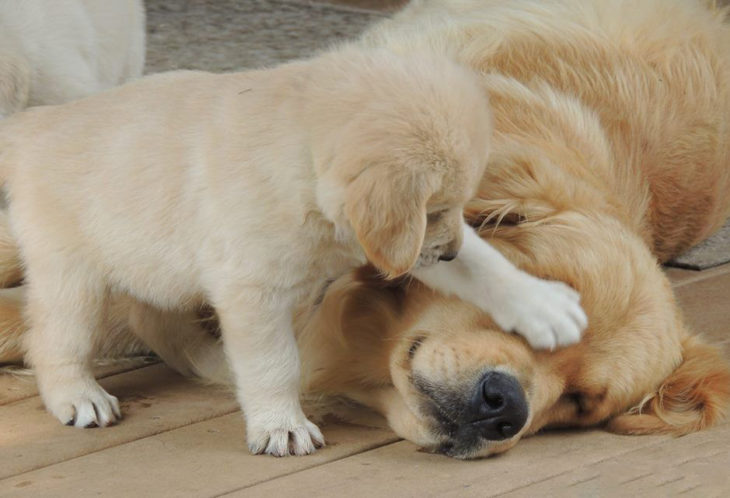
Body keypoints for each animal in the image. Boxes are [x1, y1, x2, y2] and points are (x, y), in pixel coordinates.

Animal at [0, 46, 584, 456]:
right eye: (437, 207)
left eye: (455, 206)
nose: (446, 254)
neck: (301, 159)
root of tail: (34, 126)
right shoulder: (255, 292)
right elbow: (274, 362)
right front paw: (281, 425)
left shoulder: (389, 243)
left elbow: (484, 263)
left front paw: (545, 308)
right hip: (73, 275)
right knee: (53, 339)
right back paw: (78, 396)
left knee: (153, 317)